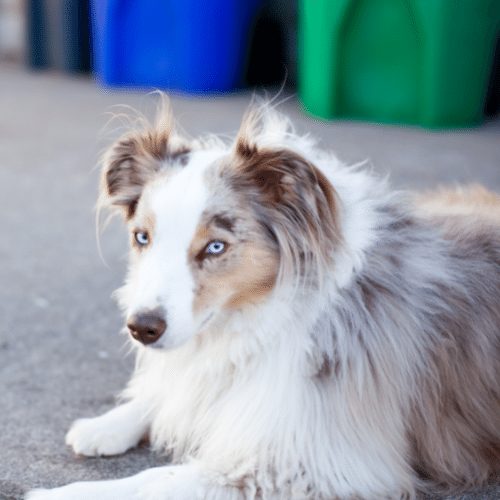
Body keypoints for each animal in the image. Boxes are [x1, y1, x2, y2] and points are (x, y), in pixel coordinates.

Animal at [26, 99, 500, 498]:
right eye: (142, 237)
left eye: (215, 247)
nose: (142, 328)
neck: (257, 315)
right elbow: (173, 389)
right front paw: (106, 424)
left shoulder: (314, 461)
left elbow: (155, 480)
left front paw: (59, 494)